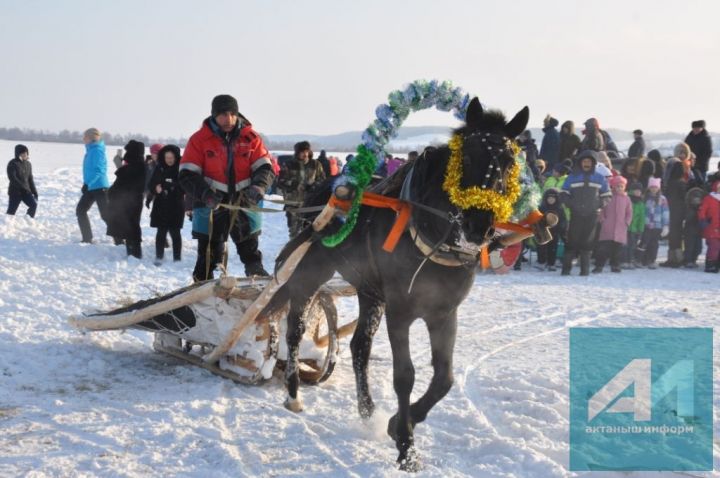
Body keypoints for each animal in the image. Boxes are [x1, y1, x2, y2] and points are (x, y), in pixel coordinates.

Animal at [264, 98, 528, 470]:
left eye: (509, 162)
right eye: (467, 157)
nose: (480, 225)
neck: (432, 232)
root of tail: (322, 189)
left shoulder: (444, 312)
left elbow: (443, 378)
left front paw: (398, 424)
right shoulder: (401, 310)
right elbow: (405, 376)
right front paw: (406, 445)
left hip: (370, 291)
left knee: (360, 347)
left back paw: (367, 409)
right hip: (310, 271)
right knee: (296, 327)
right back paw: (293, 392)